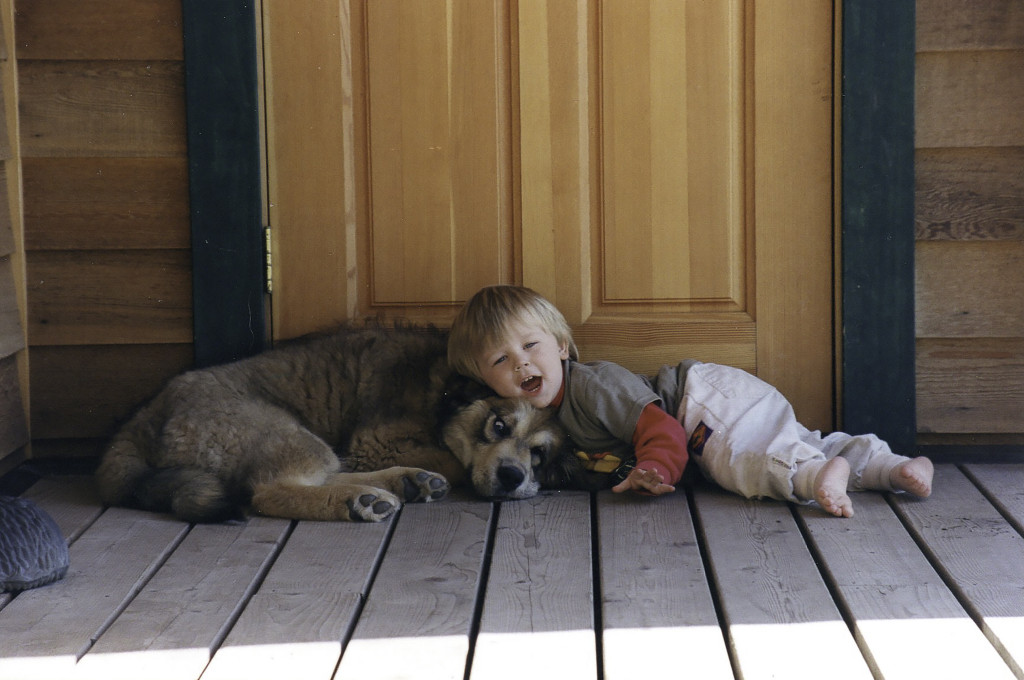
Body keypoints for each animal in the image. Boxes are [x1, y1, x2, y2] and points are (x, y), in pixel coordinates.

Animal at [96, 323, 598, 520]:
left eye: (539, 454)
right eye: (498, 425)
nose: (514, 476)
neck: (439, 389)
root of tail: (144, 418)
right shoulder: (374, 441)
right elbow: (455, 461)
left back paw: (400, 484)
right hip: (288, 435)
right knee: (271, 490)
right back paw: (359, 501)